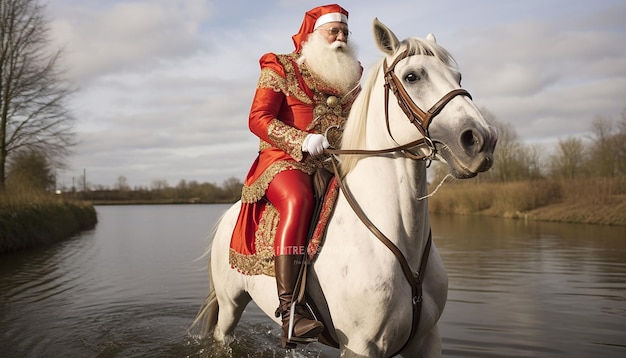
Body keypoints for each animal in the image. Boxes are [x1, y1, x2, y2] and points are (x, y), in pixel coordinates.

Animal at [193, 19, 494, 358]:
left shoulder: (428, 339)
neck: (403, 240)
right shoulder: (361, 346)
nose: (481, 139)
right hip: (231, 303)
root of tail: (229, 213)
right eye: (412, 76)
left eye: (458, 76)